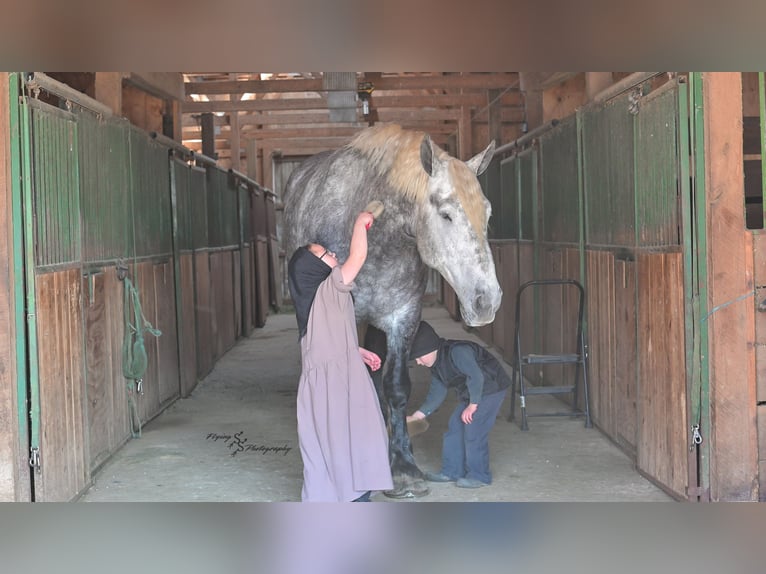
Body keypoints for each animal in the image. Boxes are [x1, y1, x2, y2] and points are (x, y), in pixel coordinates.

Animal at [283, 124, 501, 498]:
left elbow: (396, 387)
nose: (487, 301)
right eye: (446, 214)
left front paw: (403, 469)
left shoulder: (403, 317)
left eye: (486, 214)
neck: (380, 242)